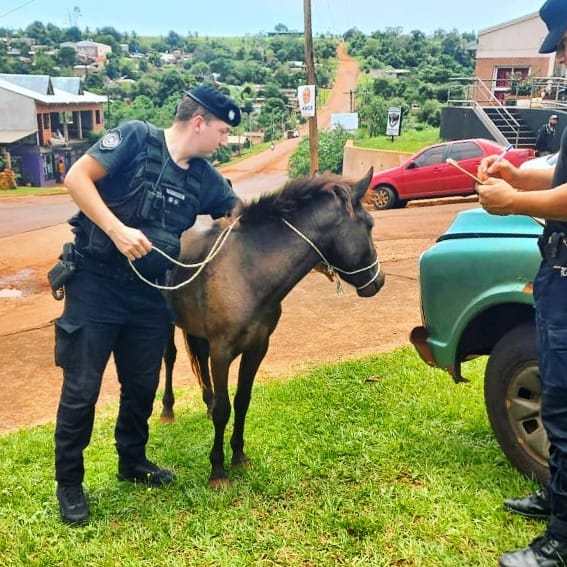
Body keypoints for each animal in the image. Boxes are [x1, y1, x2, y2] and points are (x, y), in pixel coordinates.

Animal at [164, 169, 386, 488]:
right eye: (369, 225)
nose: (378, 281)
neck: (247, 273)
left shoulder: (257, 348)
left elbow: (241, 401)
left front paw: (239, 456)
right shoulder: (222, 353)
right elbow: (224, 410)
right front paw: (217, 470)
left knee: (200, 362)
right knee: (170, 358)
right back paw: (167, 410)